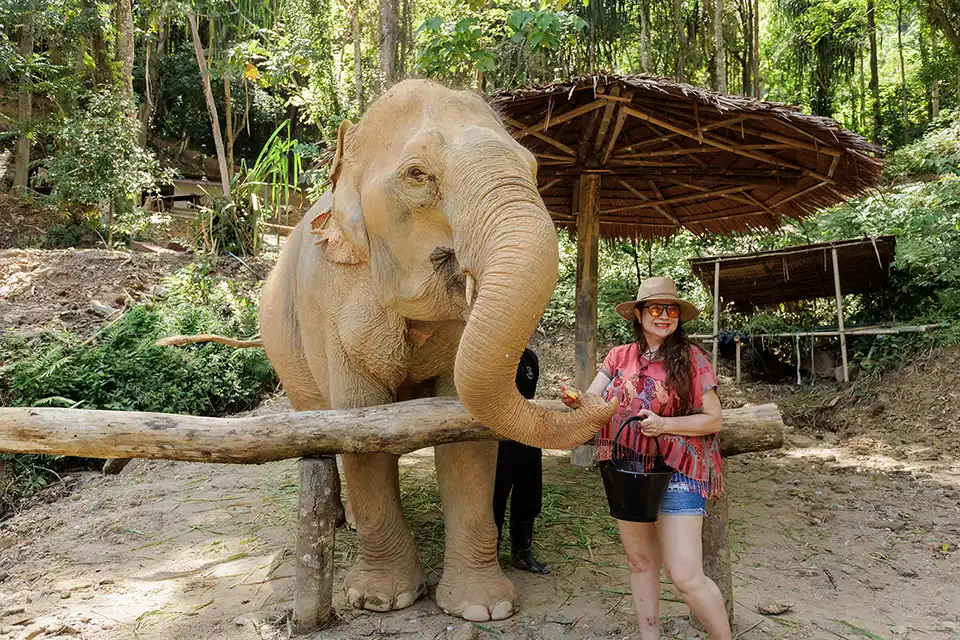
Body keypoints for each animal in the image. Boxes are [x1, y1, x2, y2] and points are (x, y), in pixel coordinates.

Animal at [258, 79, 613, 622]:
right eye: (417, 175)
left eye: (533, 169)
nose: (588, 398)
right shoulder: (331, 304)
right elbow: (361, 427)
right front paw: (382, 599)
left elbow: (464, 435)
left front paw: (483, 608)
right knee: (319, 430)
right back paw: (343, 520)